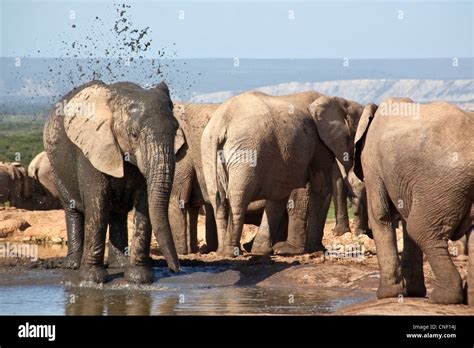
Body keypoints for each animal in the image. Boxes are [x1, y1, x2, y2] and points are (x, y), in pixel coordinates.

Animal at [44, 80, 180, 284]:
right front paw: (93, 279)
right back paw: (73, 265)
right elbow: (98, 204)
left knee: (118, 213)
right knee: (73, 208)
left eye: (176, 130)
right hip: (55, 167)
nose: (176, 269)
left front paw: (139, 278)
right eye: (133, 134)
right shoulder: (91, 149)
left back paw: (120, 264)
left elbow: (145, 203)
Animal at [201, 91, 366, 256]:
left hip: (210, 152)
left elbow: (281, 195)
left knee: (218, 200)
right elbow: (318, 187)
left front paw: (265, 250)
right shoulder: (319, 145)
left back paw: (223, 252)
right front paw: (310, 250)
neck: (341, 101)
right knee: (238, 198)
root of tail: (222, 122)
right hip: (247, 150)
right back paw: (232, 252)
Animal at [356, 96, 474, 304]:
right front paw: (412, 293)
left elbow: (380, 215)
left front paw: (386, 295)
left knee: (421, 230)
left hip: (441, 183)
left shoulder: (370, 160)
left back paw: (441, 297)